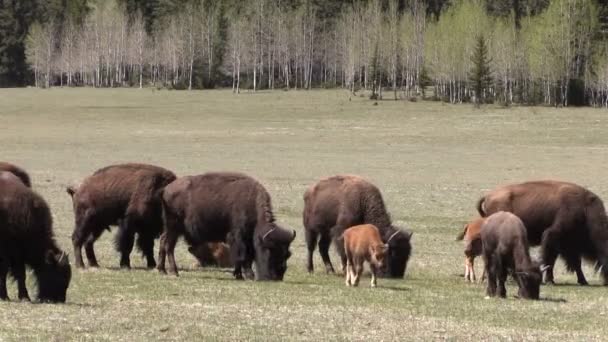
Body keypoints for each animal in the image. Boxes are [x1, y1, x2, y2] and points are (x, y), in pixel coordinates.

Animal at [0, 171, 71, 302]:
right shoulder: (6, 253)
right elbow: (5, 272)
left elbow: (21, 274)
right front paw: (4, 296)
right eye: (59, 274)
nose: (60, 299)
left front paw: (25, 297)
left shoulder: (19, 255)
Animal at [158, 171, 296, 280]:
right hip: (174, 228)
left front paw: (238, 275)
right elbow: (243, 256)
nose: (278, 276)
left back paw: (162, 270)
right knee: (169, 246)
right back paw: (174, 272)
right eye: (270, 250)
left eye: (288, 254)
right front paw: (247, 275)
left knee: (163, 242)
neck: (251, 204)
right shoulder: (238, 237)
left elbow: (244, 257)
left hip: (169, 228)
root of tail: (166, 189)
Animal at [478, 180, 608, 284]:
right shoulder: (552, 236)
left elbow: (576, 263)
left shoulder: (570, 245)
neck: (585, 210)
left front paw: (583, 281)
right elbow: (550, 260)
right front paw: (550, 281)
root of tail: (488, 196)